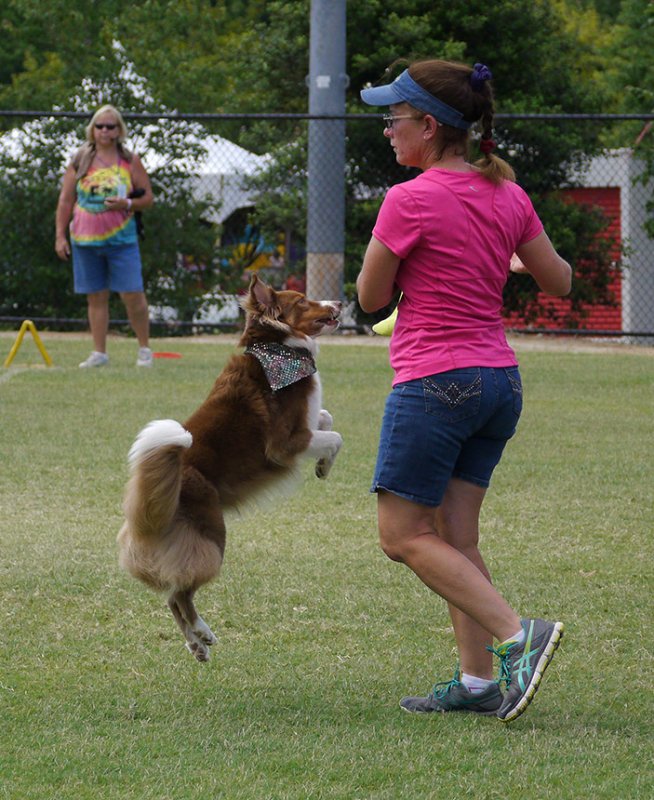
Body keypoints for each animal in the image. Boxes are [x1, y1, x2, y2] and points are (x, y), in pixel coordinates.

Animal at [117, 276, 344, 664]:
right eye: (303, 300)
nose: (342, 302)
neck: (278, 349)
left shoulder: (305, 426)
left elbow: (326, 418)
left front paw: (322, 466)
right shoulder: (285, 443)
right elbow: (335, 435)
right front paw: (325, 465)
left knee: (171, 594)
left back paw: (196, 644)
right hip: (211, 534)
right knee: (180, 592)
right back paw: (203, 632)